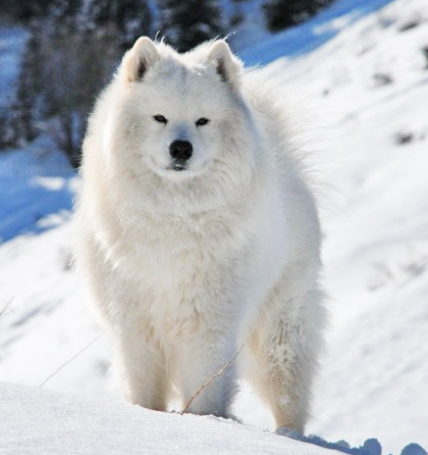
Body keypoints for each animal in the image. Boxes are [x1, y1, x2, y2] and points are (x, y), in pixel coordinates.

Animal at [75, 37, 326, 432]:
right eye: (160, 117)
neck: (173, 218)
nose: (181, 148)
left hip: (279, 330)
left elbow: (206, 390)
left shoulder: (208, 327)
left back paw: (289, 434)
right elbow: (143, 395)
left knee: (289, 391)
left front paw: (205, 422)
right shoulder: (134, 327)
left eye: (202, 121)